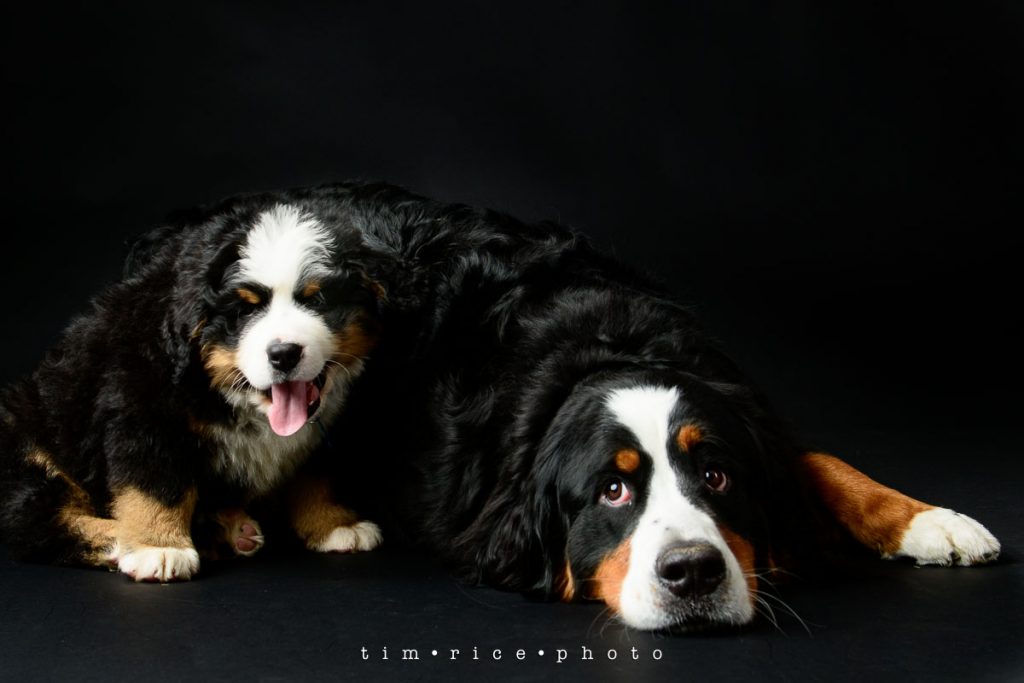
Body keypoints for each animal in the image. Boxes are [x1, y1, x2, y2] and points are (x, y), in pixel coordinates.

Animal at [0, 192, 385, 581]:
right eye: (245, 311)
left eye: (316, 301)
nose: (283, 354)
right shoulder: (144, 408)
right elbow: (156, 486)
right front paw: (157, 546)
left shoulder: (325, 430)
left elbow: (319, 477)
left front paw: (335, 524)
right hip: (31, 447)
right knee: (34, 521)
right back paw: (123, 541)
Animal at [315, 181, 1002, 631]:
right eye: (612, 491)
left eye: (717, 476)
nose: (692, 572)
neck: (610, 348)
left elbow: (819, 461)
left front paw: (929, 520)